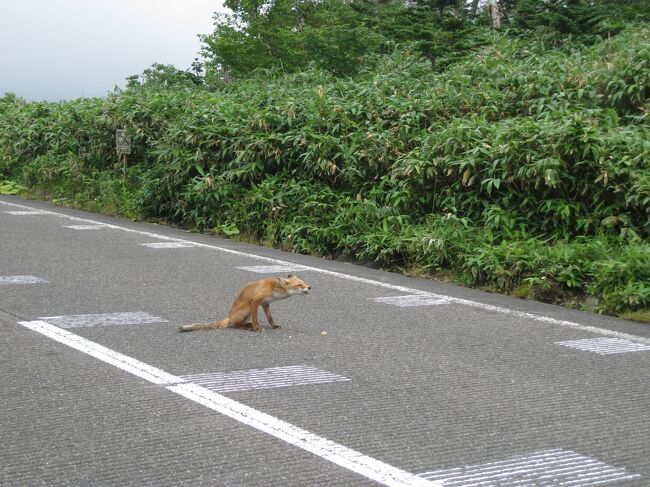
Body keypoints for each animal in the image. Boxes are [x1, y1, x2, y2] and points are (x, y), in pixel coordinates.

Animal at [177, 276, 308, 334]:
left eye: (304, 283)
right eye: (299, 285)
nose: (310, 287)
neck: (275, 289)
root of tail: (228, 317)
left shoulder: (266, 303)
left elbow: (270, 318)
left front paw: (274, 326)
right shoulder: (256, 301)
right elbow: (255, 319)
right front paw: (256, 329)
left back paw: (247, 325)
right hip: (247, 309)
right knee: (235, 325)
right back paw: (248, 327)